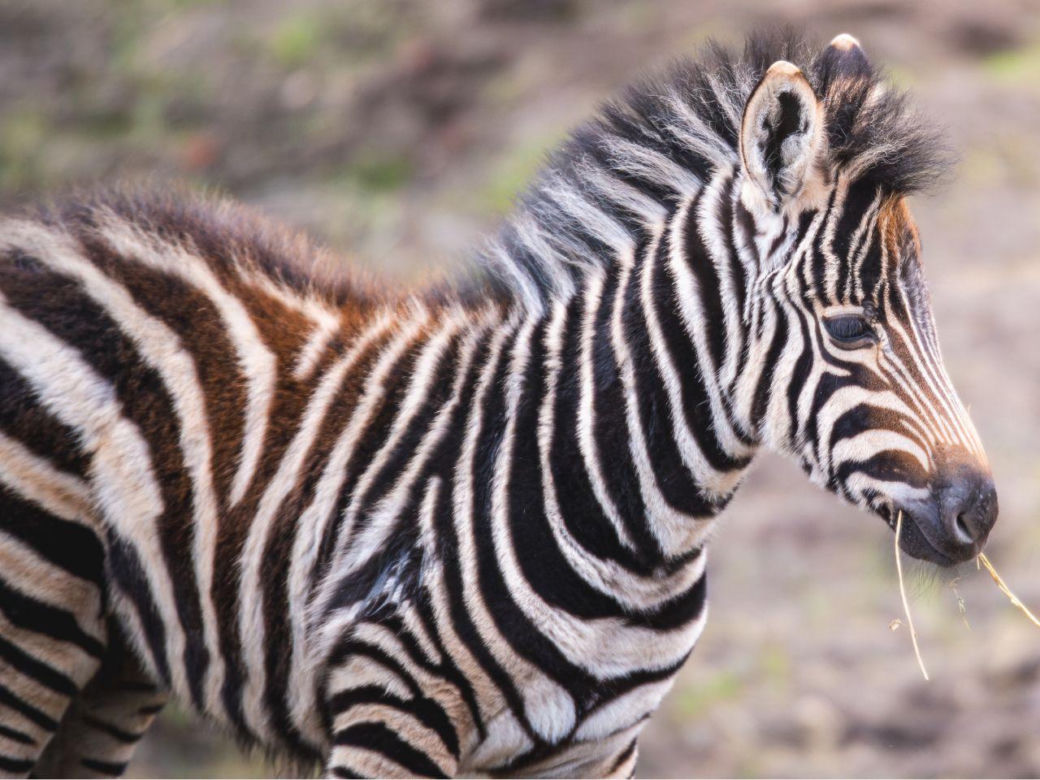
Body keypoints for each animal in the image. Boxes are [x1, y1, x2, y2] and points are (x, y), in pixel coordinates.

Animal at [0, 29, 997, 778]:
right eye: (851, 329)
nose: (980, 515)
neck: (631, 526)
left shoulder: (598, 754)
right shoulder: (389, 714)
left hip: (115, 661)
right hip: (31, 620)